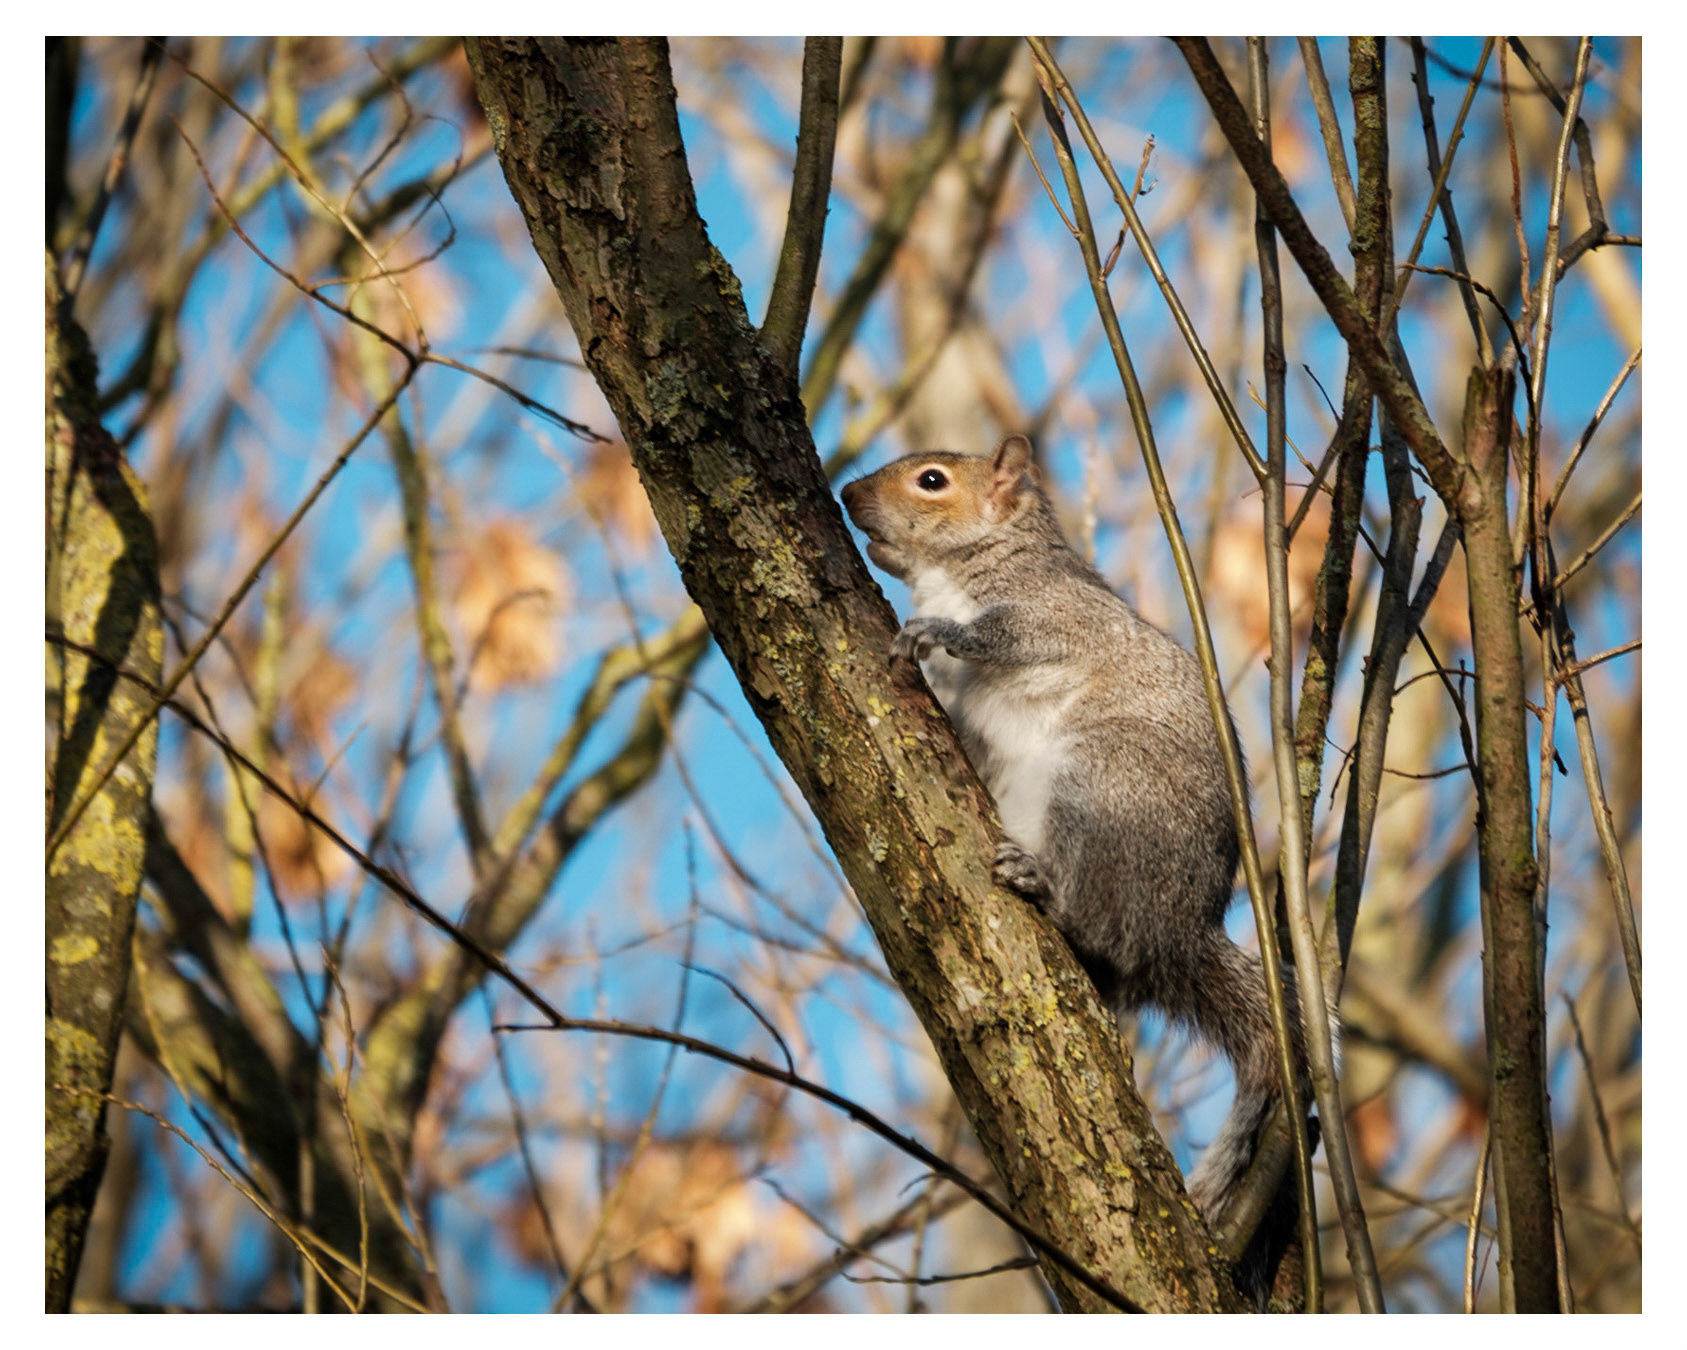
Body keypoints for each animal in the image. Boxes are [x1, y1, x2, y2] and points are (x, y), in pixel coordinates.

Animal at [841, 433, 1315, 1302]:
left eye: (932, 480)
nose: (849, 495)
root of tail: (1179, 929)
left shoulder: (1052, 611)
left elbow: (1006, 635)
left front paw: (934, 632)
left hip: (1099, 783)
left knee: (1097, 922)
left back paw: (1042, 887)